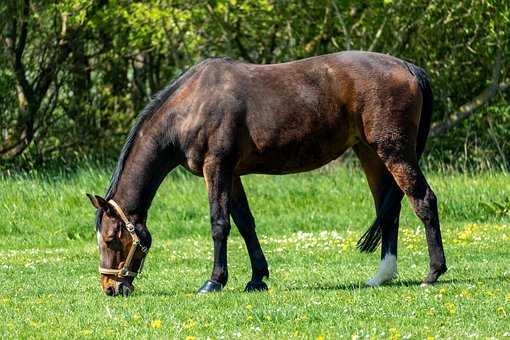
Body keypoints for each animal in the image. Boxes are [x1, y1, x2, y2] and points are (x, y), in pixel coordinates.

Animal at [86, 51, 446, 298]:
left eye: (110, 239)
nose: (110, 287)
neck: (192, 106)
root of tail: (408, 68)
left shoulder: (216, 168)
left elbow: (219, 224)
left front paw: (214, 281)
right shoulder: (232, 174)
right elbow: (246, 224)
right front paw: (257, 278)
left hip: (394, 152)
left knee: (423, 201)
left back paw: (432, 273)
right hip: (371, 154)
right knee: (390, 210)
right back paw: (382, 275)